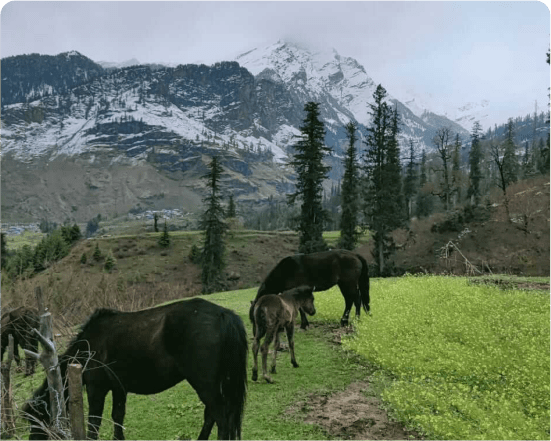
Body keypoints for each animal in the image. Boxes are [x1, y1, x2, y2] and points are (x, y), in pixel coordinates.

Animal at [23, 296, 248, 440]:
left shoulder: (97, 388)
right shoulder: (119, 388)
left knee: (220, 416)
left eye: (37, 421)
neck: (88, 346)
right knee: (213, 415)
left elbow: (95, 421)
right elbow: (117, 416)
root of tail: (222, 314)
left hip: (204, 382)